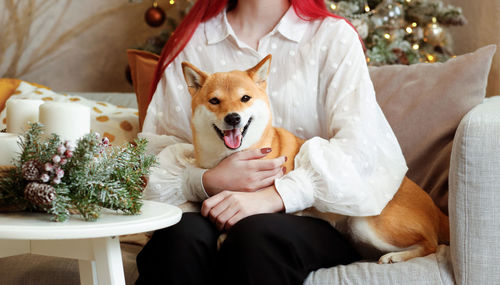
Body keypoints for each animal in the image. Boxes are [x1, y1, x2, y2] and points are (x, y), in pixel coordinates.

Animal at [181, 54, 450, 262]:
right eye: (214, 101)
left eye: (245, 98)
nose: (233, 118)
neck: (230, 156)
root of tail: (437, 211)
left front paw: (225, 234)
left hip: (366, 225)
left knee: (431, 244)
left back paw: (396, 256)